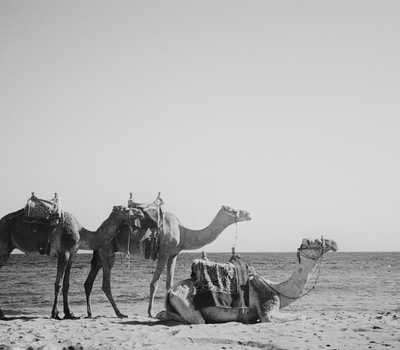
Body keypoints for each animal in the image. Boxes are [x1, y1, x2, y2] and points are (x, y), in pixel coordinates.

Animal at [156, 237, 338, 324]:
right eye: (315, 242)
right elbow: (301, 316)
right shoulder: (267, 310)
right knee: (198, 320)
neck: (277, 289)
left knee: (165, 313)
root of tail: (171, 291)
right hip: (185, 301)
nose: (333, 243)